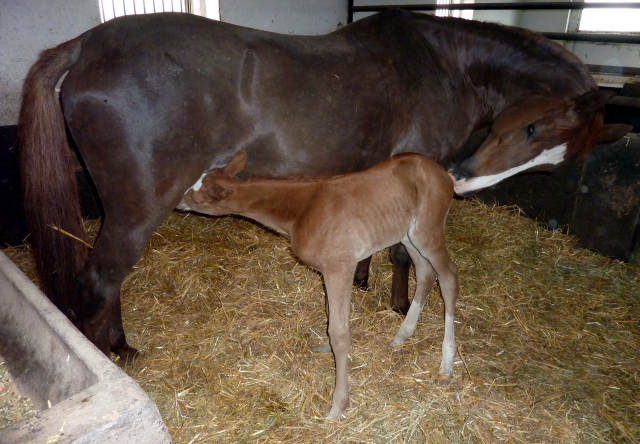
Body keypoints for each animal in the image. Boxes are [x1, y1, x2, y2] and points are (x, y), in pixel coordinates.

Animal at [180, 151, 460, 418]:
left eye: (197, 198)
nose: (179, 202)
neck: (303, 211)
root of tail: (443, 173)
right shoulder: (327, 270)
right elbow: (329, 315)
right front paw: (326, 346)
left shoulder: (340, 266)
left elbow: (340, 333)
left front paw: (338, 406)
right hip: (407, 235)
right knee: (425, 273)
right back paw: (401, 336)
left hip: (427, 232)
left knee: (448, 277)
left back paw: (446, 362)